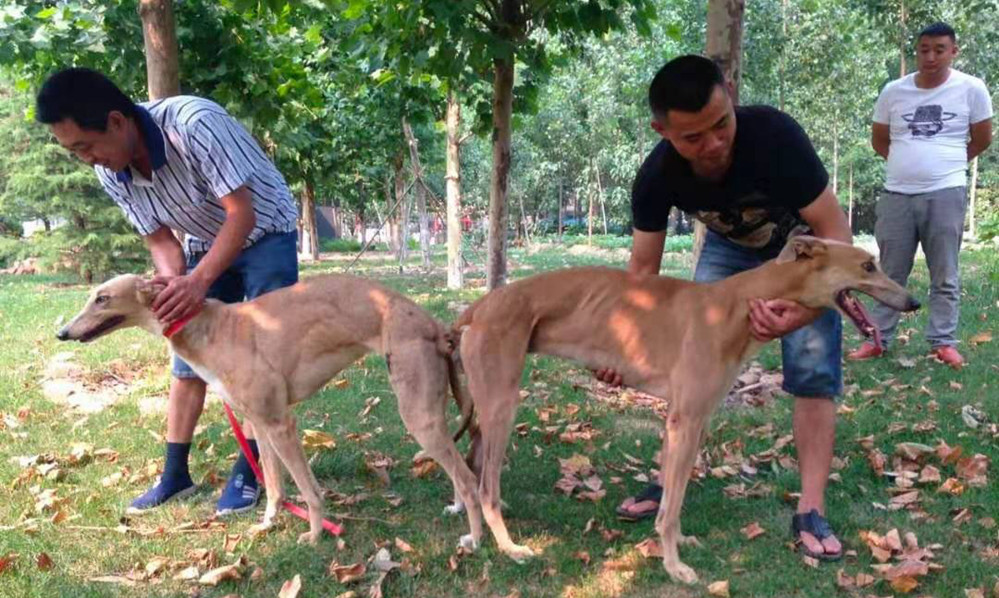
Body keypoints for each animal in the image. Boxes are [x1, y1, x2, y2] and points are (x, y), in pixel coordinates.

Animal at [54, 274, 484, 552]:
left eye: (102, 298)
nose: (62, 334)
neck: (209, 327)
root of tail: (434, 323)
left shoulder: (281, 424)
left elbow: (309, 490)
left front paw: (315, 534)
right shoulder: (258, 423)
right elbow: (275, 486)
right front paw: (268, 522)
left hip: (417, 414)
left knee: (468, 478)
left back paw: (477, 539)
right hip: (430, 412)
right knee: (460, 471)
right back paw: (459, 510)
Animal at [454, 238, 920, 584]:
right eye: (868, 265)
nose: (914, 301)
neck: (737, 302)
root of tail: (481, 305)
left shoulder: (697, 421)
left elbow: (674, 499)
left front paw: (680, 546)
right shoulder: (686, 419)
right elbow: (671, 504)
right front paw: (674, 566)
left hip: (487, 406)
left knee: (472, 469)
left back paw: (474, 535)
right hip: (502, 405)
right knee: (485, 486)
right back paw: (509, 547)